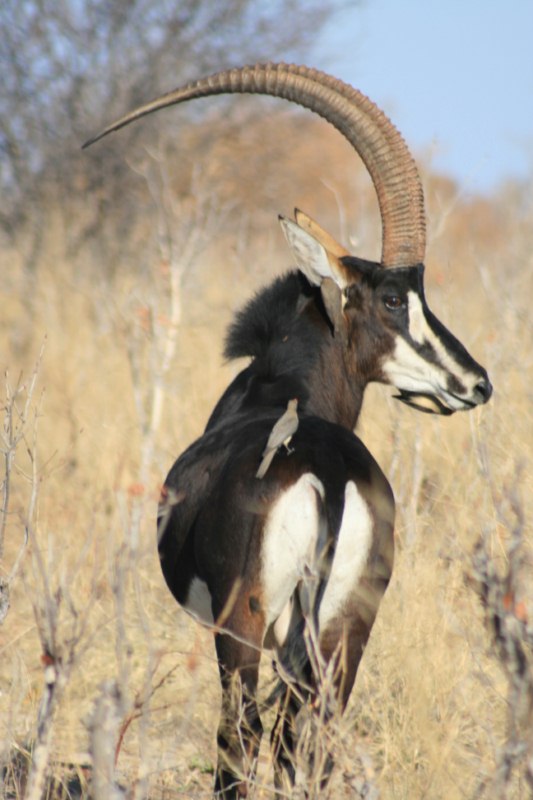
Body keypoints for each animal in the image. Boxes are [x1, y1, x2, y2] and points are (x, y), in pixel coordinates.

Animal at [85, 64, 492, 800]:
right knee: (309, 745)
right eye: (395, 298)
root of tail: (327, 475)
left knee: (239, 742)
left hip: (243, 630)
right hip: (346, 633)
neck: (280, 387)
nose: (475, 383)